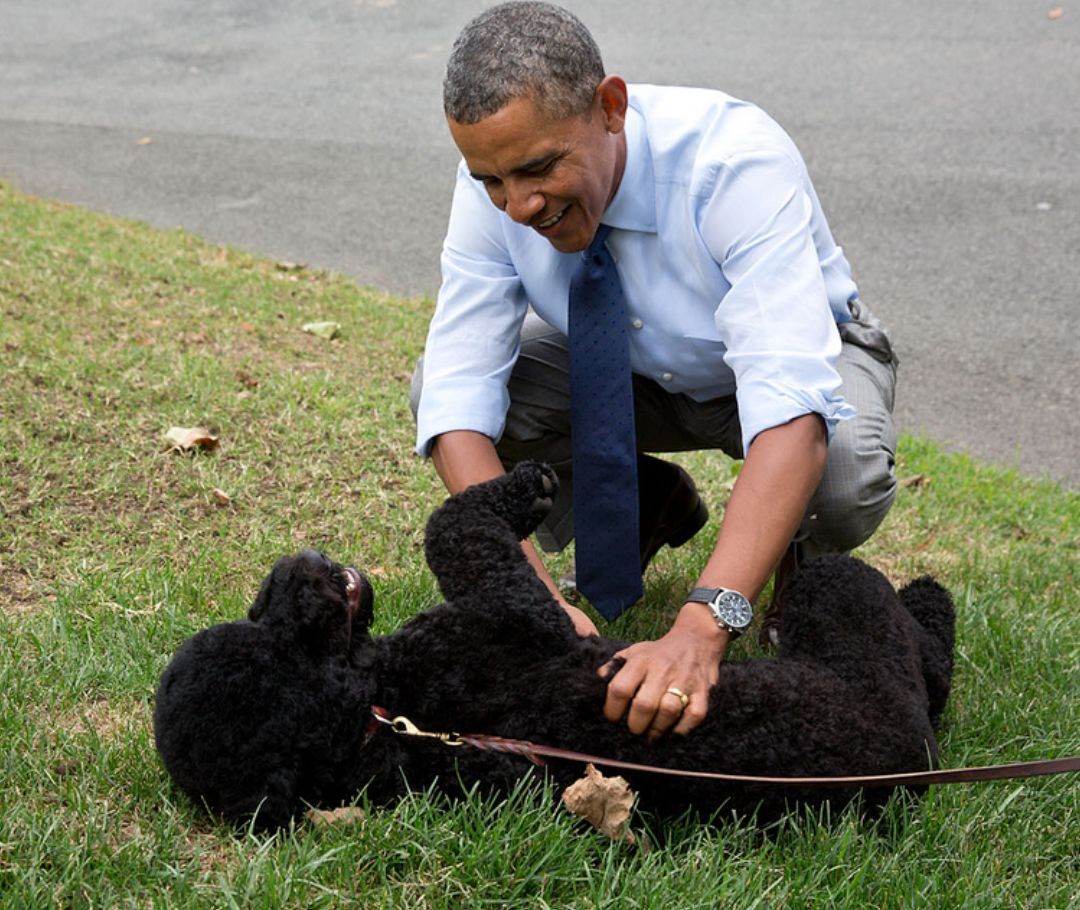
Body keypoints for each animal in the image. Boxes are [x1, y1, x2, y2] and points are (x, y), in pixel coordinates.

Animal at [152, 466, 954, 829]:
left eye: (263, 614)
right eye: (283, 632)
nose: (302, 567)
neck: (379, 716)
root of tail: (908, 767)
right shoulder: (515, 610)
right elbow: (453, 528)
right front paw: (525, 486)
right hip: (845, 601)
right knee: (928, 652)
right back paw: (928, 596)